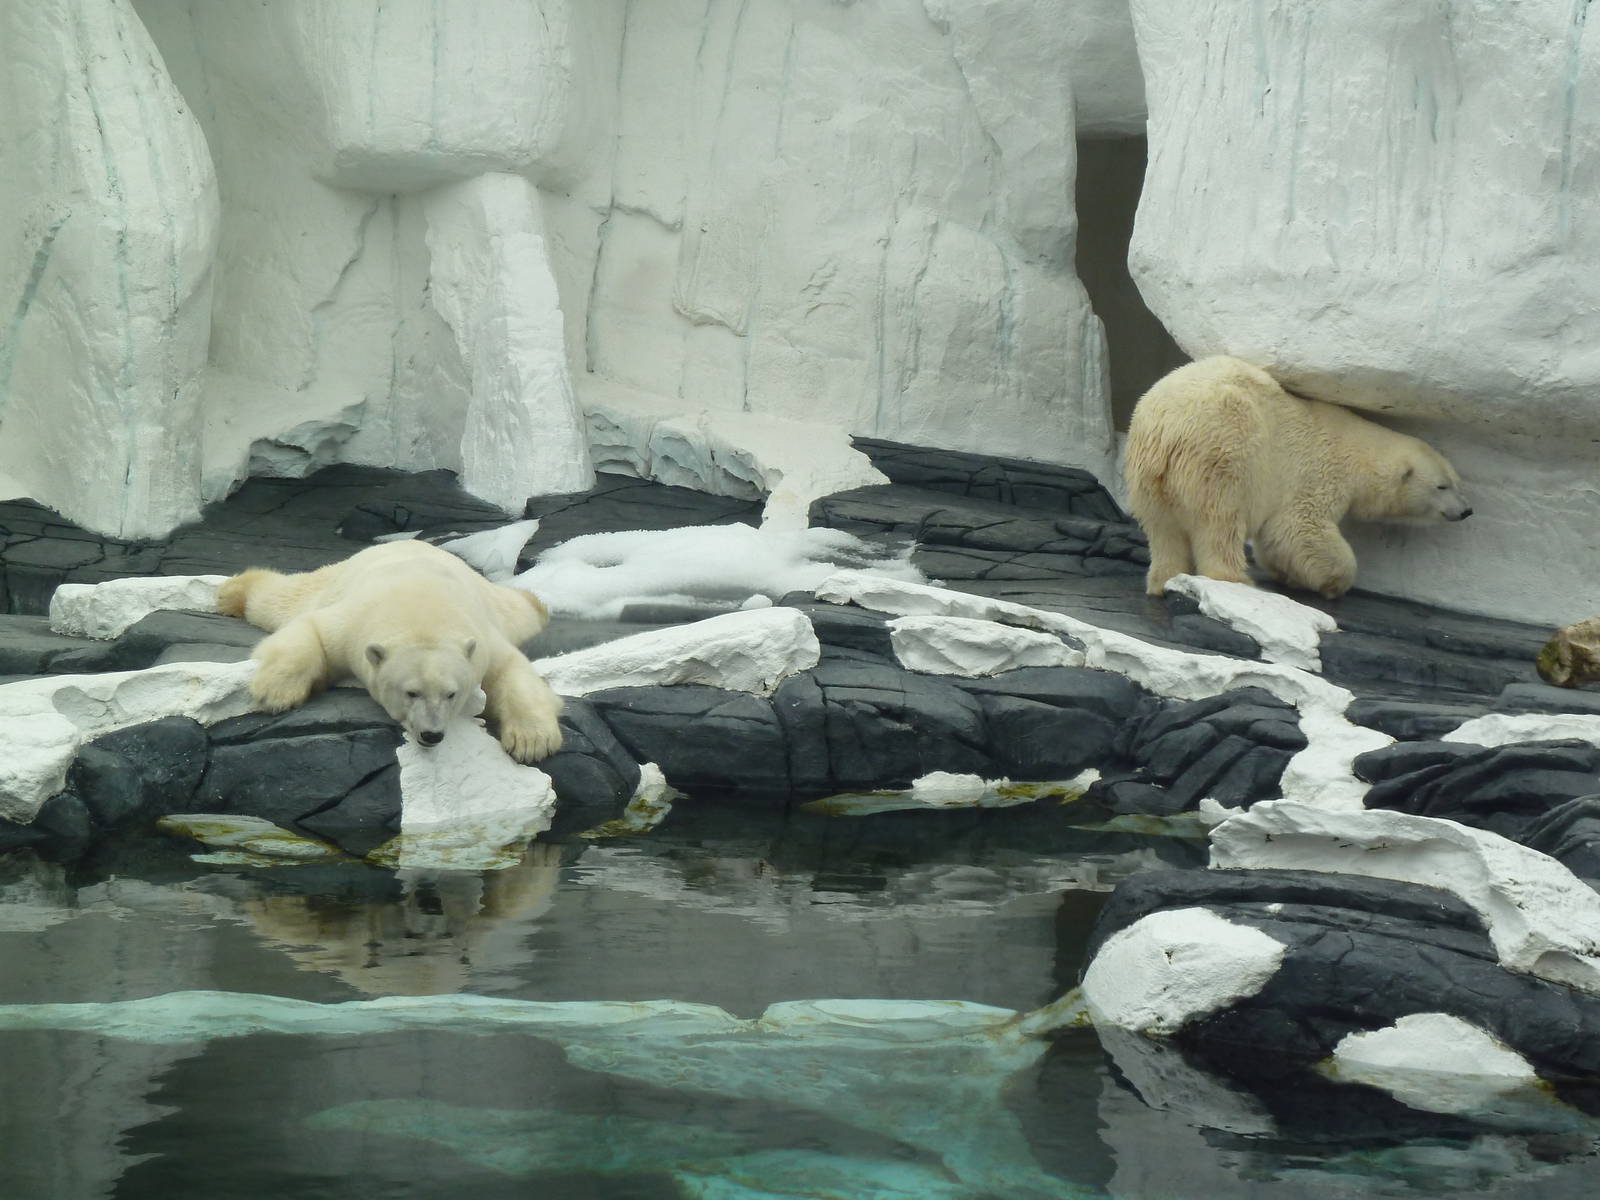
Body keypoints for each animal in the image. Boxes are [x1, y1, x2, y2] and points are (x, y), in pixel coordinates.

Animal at [216, 540, 563, 762]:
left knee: (522, 611)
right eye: (411, 693)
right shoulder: (353, 623)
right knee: (281, 601)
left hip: (497, 606)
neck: (422, 614)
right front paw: (276, 693)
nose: (431, 734)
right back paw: (233, 592)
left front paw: (532, 742)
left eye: (451, 694)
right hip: (332, 580)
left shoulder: (481, 639)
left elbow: (511, 669)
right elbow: (313, 628)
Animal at [1125, 356, 1471, 600]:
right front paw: (1335, 583)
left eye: (1457, 482)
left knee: (1163, 529)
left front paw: (1287, 574)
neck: (1354, 447)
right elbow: (1297, 530)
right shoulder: (1316, 472)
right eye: (1442, 485)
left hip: (1146, 476)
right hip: (1223, 454)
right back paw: (1236, 580)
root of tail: (1166, 430)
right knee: (1220, 522)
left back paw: (1162, 580)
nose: (1467, 510)